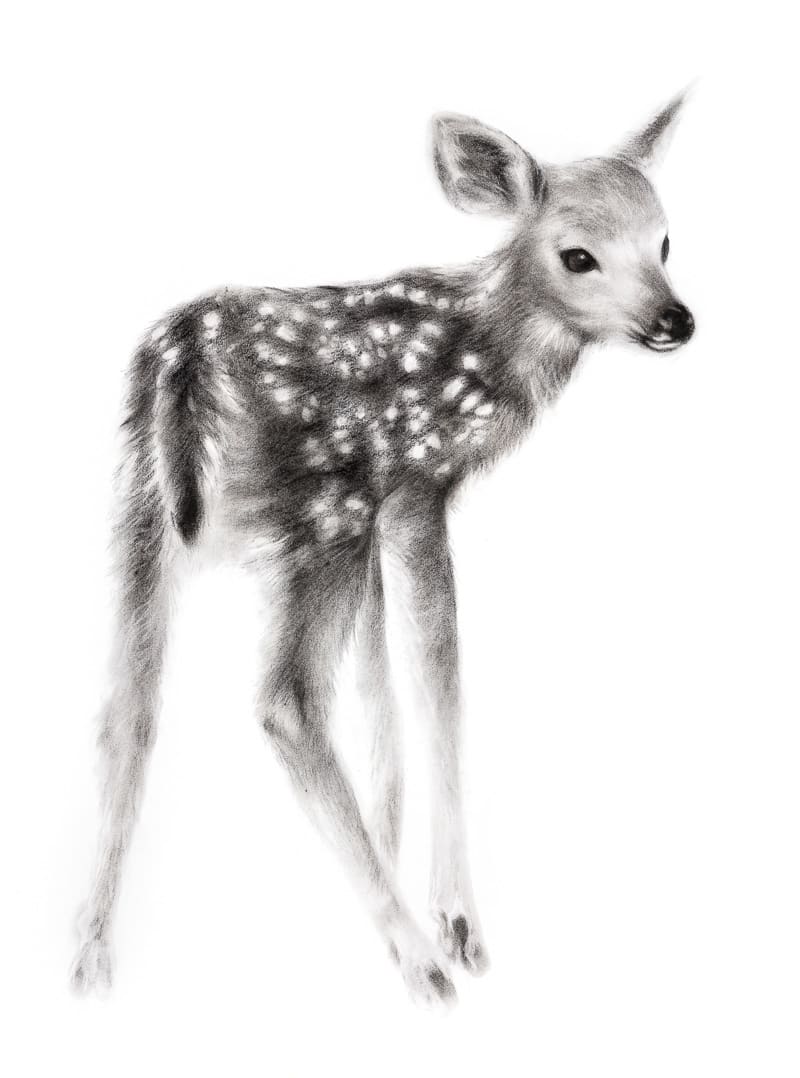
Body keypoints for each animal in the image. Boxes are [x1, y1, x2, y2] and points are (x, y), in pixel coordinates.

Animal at [71, 93, 695, 1007]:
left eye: (665, 240)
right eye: (578, 255)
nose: (674, 319)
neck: (484, 355)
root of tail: (181, 361)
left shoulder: (373, 524)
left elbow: (380, 691)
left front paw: (400, 863)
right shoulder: (411, 490)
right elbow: (437, 681)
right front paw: (457, 921)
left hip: (141, 507)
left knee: (127, 710)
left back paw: (90, 960)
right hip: (315, 518)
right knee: (286, 700)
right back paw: (421, 962)